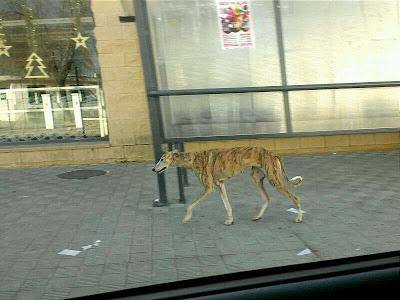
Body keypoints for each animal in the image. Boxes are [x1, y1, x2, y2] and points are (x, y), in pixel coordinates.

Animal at [153, 146, 304, 226]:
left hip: (274, 180)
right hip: (256, 178)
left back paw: (299, 217)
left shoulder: (208, 188)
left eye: (162, 159)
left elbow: (190, 205)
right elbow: (227, 205)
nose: (153, 169)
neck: (193, 159)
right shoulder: (220, 185)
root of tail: (273, 153)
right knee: (266, 198)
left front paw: (186, 218)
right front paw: (230, 219)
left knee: (296, 198)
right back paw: (258, 216)